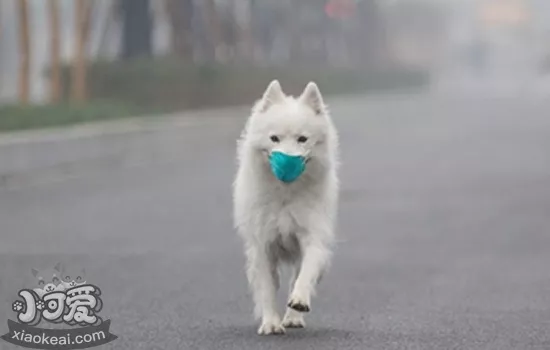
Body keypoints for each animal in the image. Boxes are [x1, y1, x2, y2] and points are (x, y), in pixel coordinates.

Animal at [233, 79, 340, 334]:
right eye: (274, 139)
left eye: (303, 139)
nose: (287, 163)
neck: (285, 195)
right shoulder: (263, 246)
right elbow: (267, 288)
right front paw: (271, 323)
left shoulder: (313, 236)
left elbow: (306, 273)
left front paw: (298, 302)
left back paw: (293, 317)